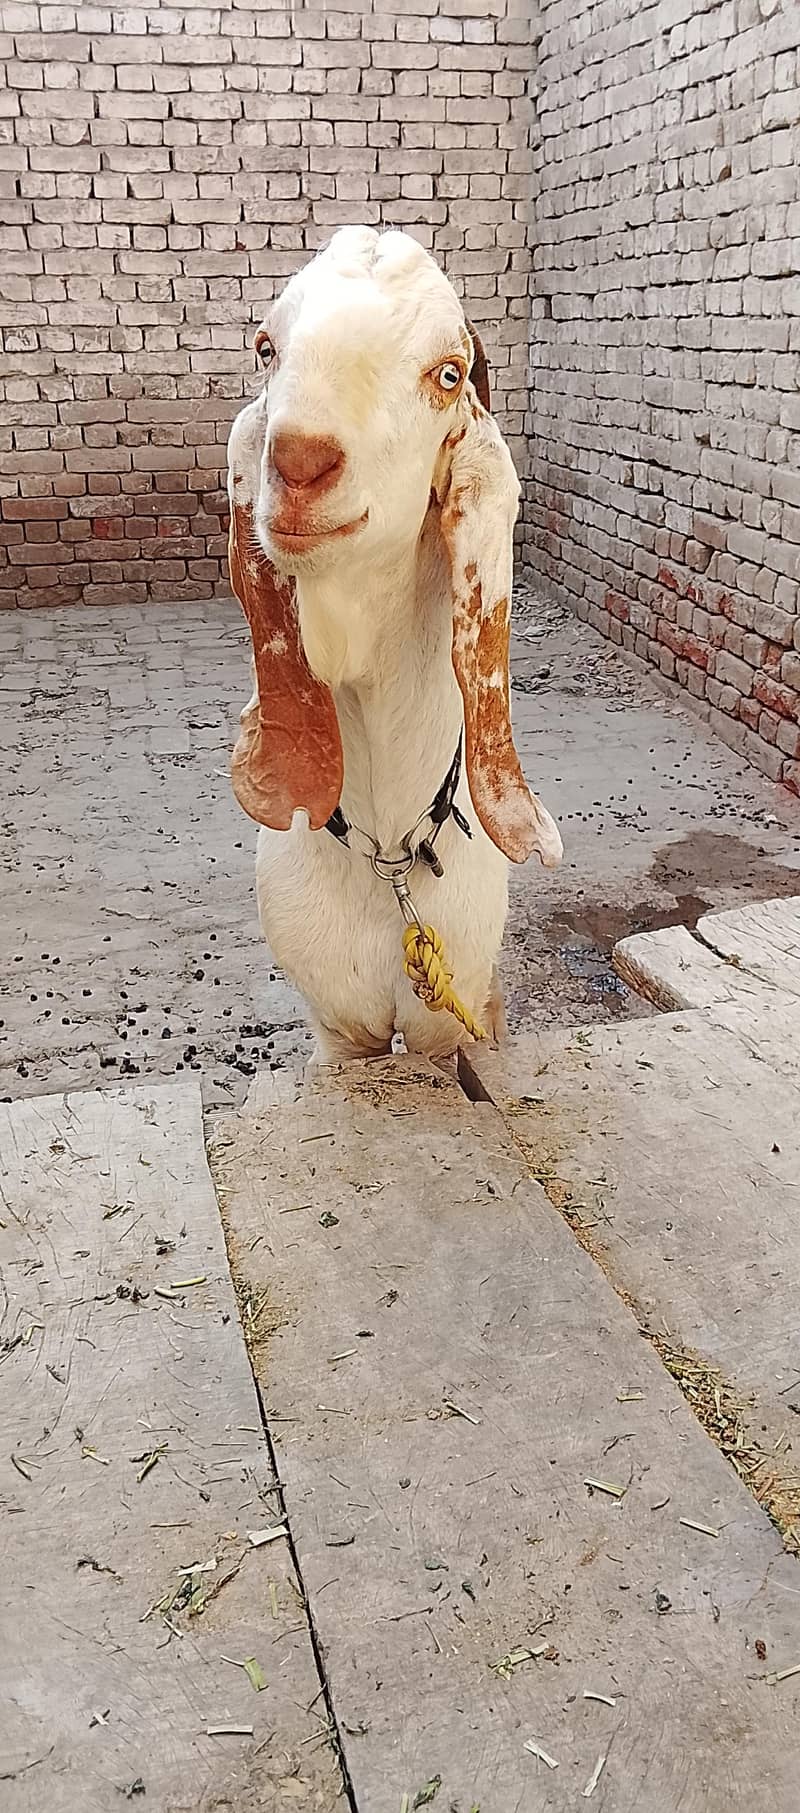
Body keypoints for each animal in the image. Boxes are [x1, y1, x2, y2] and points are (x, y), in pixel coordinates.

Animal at [227, 226, 562, 1064]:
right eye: (267, 347)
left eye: (448, 373)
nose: (299, 461)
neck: (389, 862)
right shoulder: (340, 1028)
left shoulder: (447, 1022)